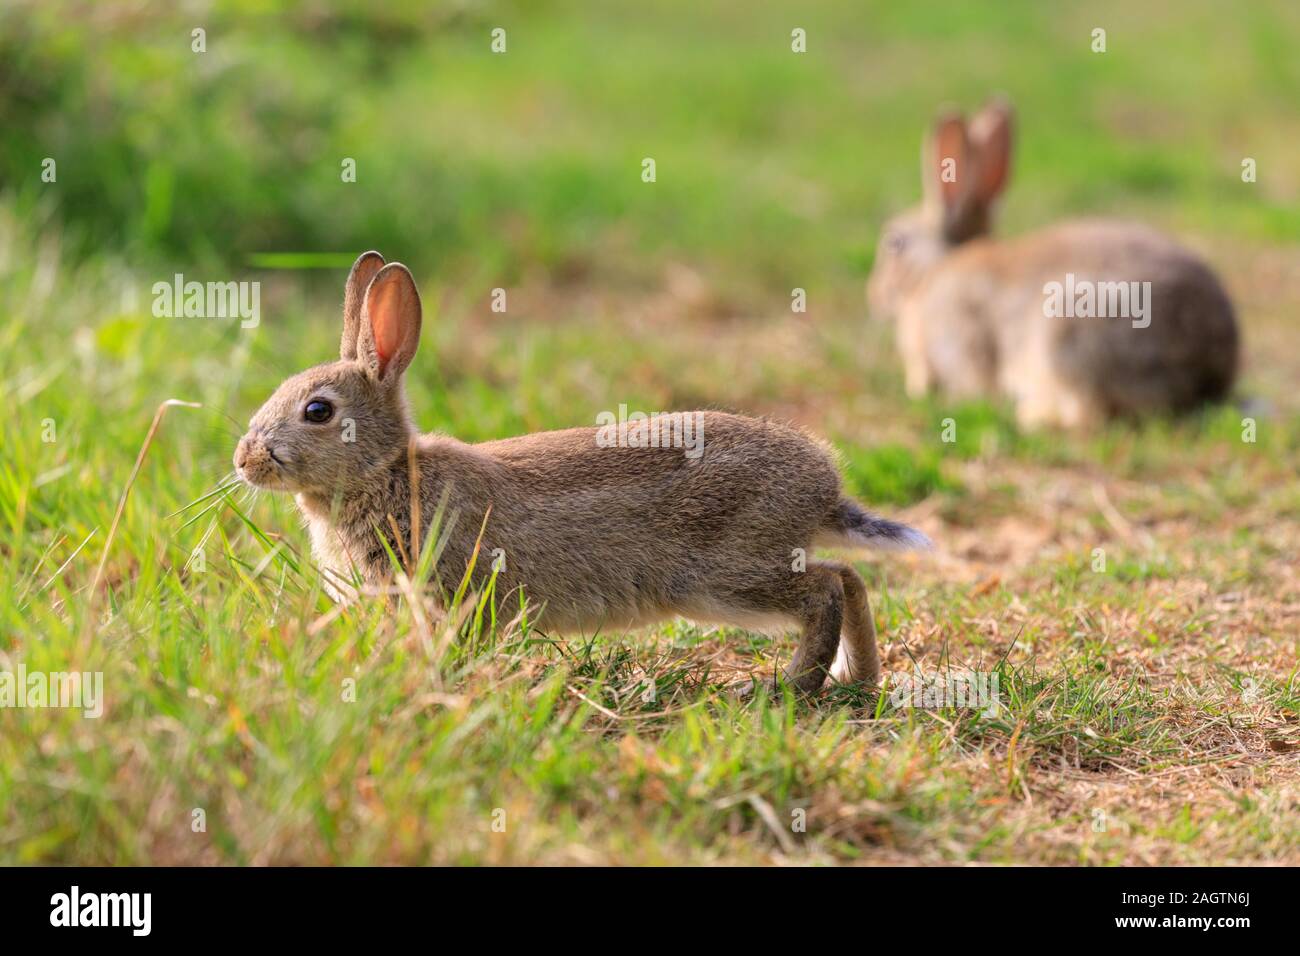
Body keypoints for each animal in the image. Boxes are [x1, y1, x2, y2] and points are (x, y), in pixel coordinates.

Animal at [234, 252, 931, 694]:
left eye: (318, 411)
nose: (244, 459)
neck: (384, 472)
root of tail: (823, 487)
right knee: (849, 578)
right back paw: (857, 679)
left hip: (724, 573)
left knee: (823, 590)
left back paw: (791, 688)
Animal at [867, 99, 1239, 429]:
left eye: (893, 242)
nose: (874, 296)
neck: (931, 272)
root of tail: (1206, 376)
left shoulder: (959, 338)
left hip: (1067, 336)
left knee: (1088, 413)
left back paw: (1028, 415)